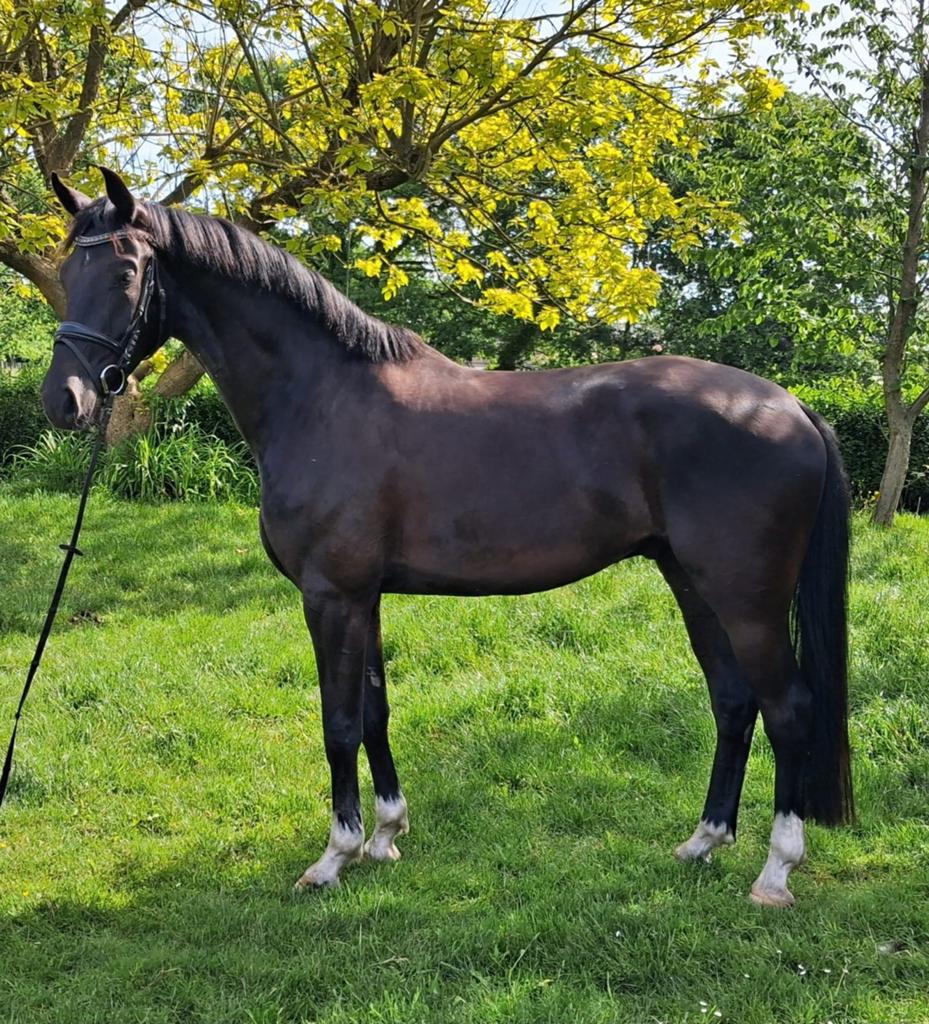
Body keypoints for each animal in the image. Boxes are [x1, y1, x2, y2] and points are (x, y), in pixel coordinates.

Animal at [41, 168, 853, 907]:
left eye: (124, 271)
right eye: (65, 268)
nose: (64, 401)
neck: (322, 398)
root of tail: (792, 408)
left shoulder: (331, 597)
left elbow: (338, 722)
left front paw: (333, 858)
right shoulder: (363, 597)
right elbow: (374, 710)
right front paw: (384, 836)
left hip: (746, 599)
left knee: (788, 708)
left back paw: (774, 872)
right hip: (692, 582)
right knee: (733, 701)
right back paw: (702, 842)